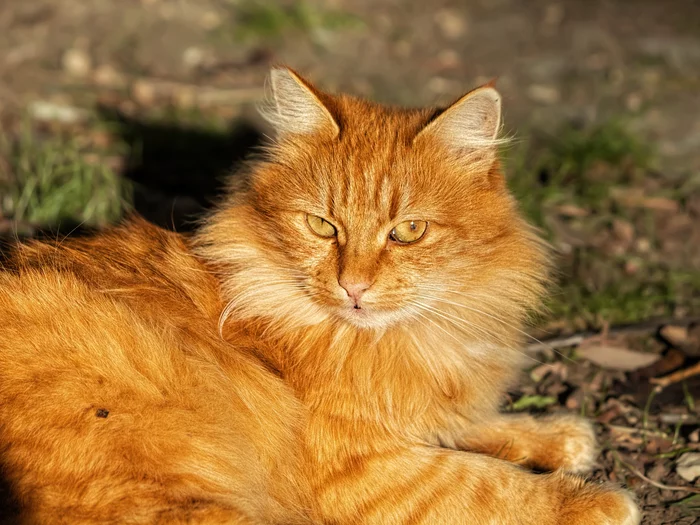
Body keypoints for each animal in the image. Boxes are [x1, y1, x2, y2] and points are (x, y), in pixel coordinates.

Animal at [0, 67, 640, 520]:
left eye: (408, 231)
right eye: (322, 227)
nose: (353, 285)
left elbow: (472, 426)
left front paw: (559, 436)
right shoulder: (358, 467)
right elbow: (484, 481)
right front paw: (591, 499)